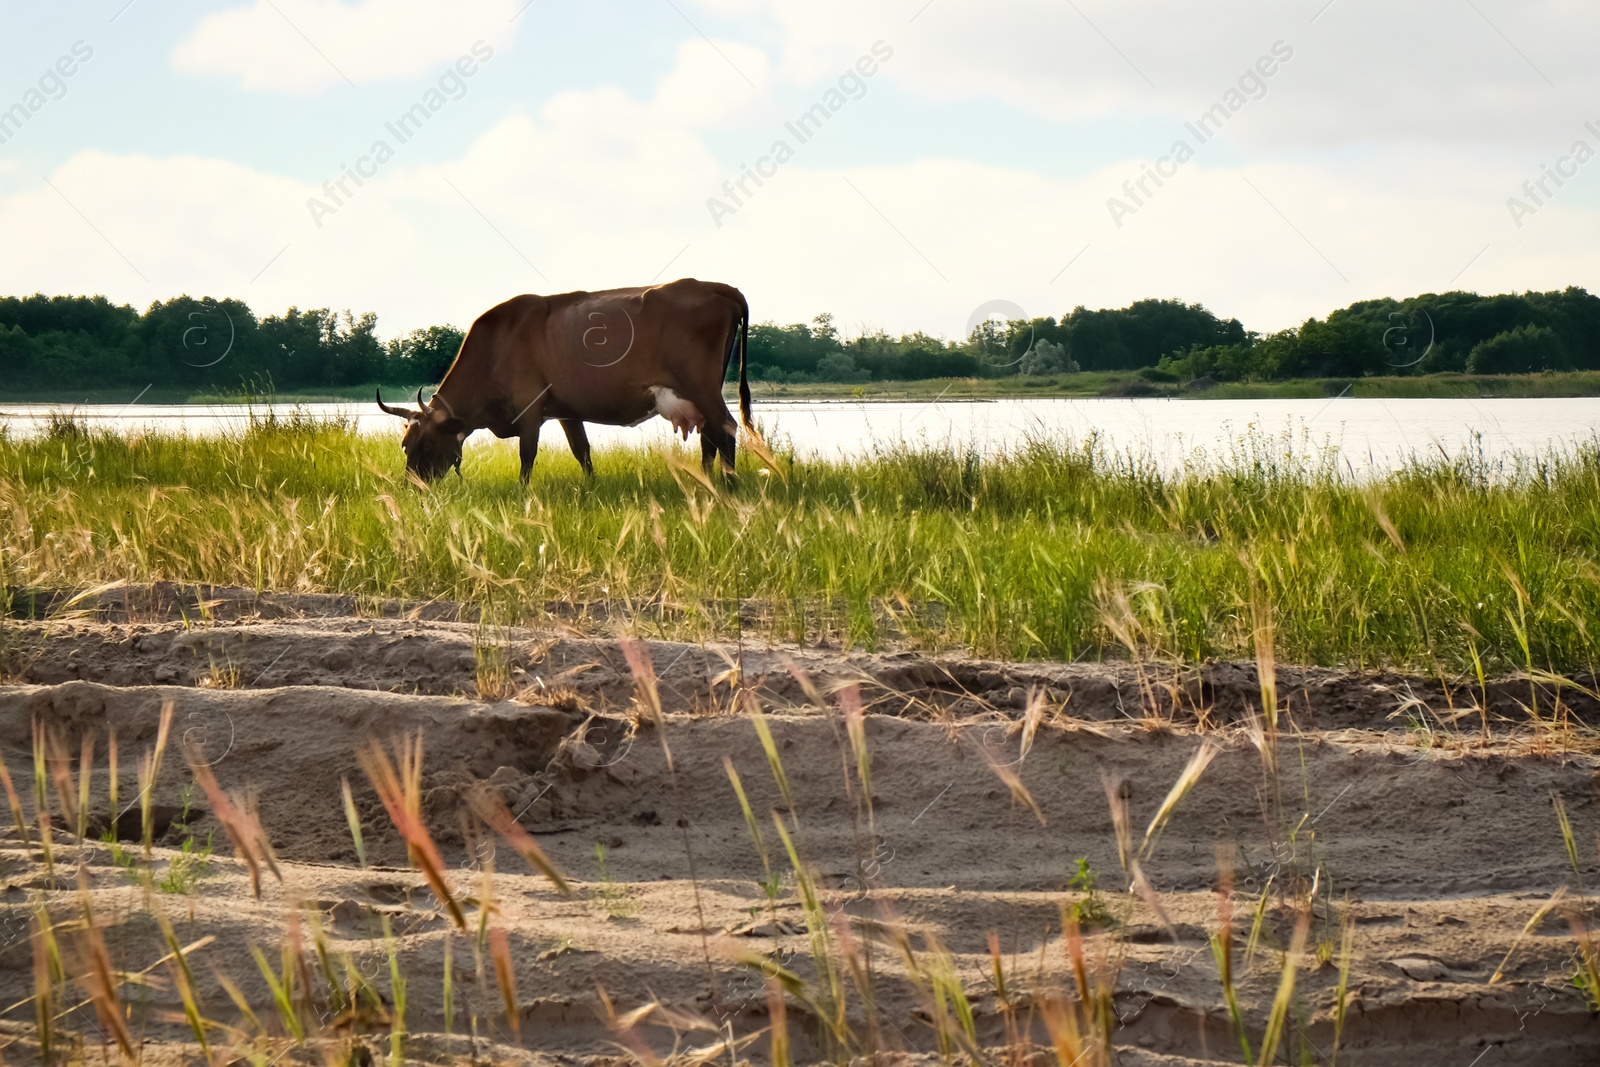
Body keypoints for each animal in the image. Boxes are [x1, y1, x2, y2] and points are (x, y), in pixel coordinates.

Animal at [377, 278, 752, 485]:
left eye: (426, 444)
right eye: (405, 445)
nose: (412, 487)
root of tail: (716, 286)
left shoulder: (530, 412)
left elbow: (527, 457)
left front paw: (523, 494)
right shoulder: (566, 410)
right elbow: (581, 450)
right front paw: (591, 486)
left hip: (703, 388)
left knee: (727, 429)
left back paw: (729, 484)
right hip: (699, 396)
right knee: (710, 437)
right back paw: (705, 481)